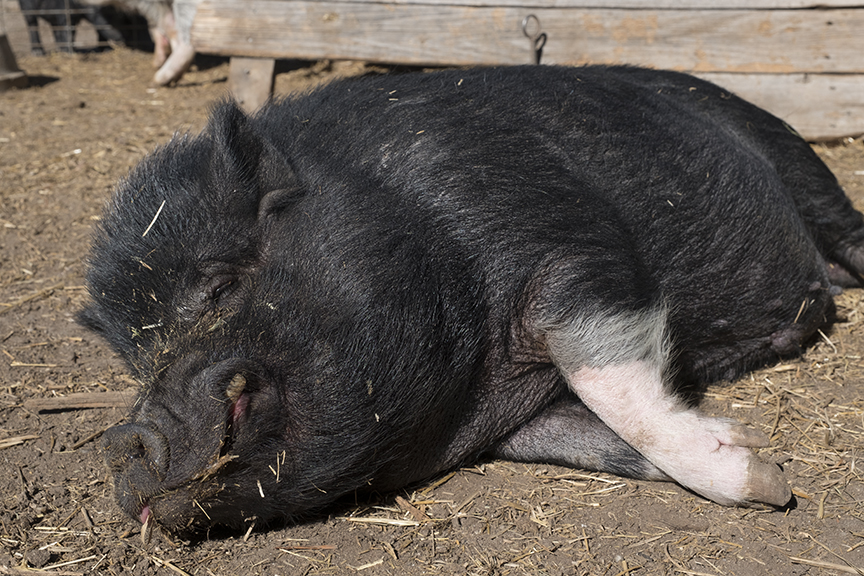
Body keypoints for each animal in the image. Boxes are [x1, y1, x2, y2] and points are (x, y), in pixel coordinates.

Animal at [77, 65, 864, 532]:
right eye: (134, 356)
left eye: (216, 287)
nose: (120, 439)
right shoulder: (506, 417)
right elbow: (578, 435)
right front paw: (761, 456)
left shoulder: (570, 241)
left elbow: (615, 385)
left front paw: (769, 482)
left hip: (804, 169)